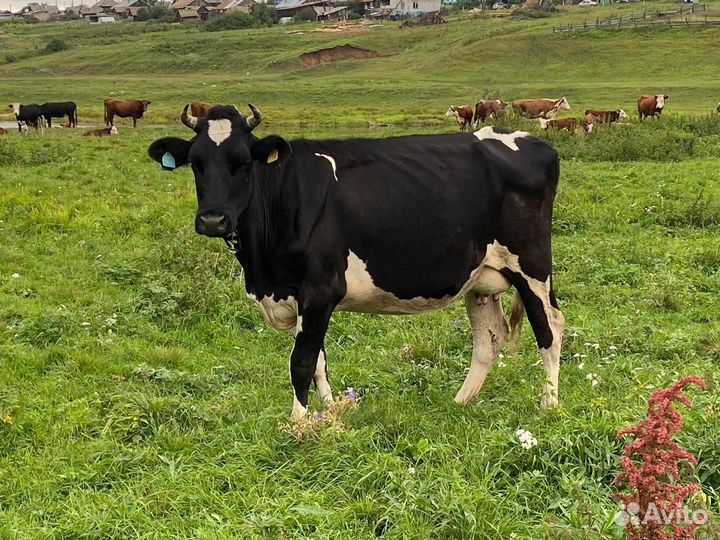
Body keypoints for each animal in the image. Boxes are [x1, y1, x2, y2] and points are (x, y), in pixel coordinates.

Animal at [147, 104, 565, 420]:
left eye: (243, 163)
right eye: (196, 163)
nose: (213, 220)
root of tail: (533, 141)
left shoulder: (320, 289)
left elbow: (301, 362)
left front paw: (297, 425)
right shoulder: (298, 296)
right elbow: (318, 360)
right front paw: (329, 414)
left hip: (531, 266)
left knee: (550, 328)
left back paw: (548, 405)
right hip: (480, 277)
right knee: (489, 338)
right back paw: (461, 402)